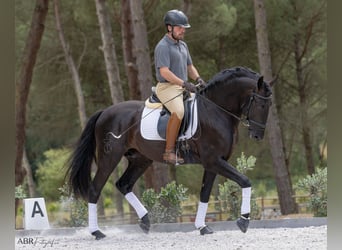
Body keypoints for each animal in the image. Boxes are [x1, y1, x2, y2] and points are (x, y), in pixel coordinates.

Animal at [66, 66, 272, 238]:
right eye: (261, 105)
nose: (257, 136)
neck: (215, 110)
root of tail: (105, 112)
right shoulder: (214, 160)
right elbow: (245, 181)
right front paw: (243, 221)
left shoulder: (214, 163)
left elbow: (205, 193)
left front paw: (202, 227)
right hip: (110, 157)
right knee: (95, 189)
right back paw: (97, 232)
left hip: (141, 159)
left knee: (124, 184)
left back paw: (145, 222)